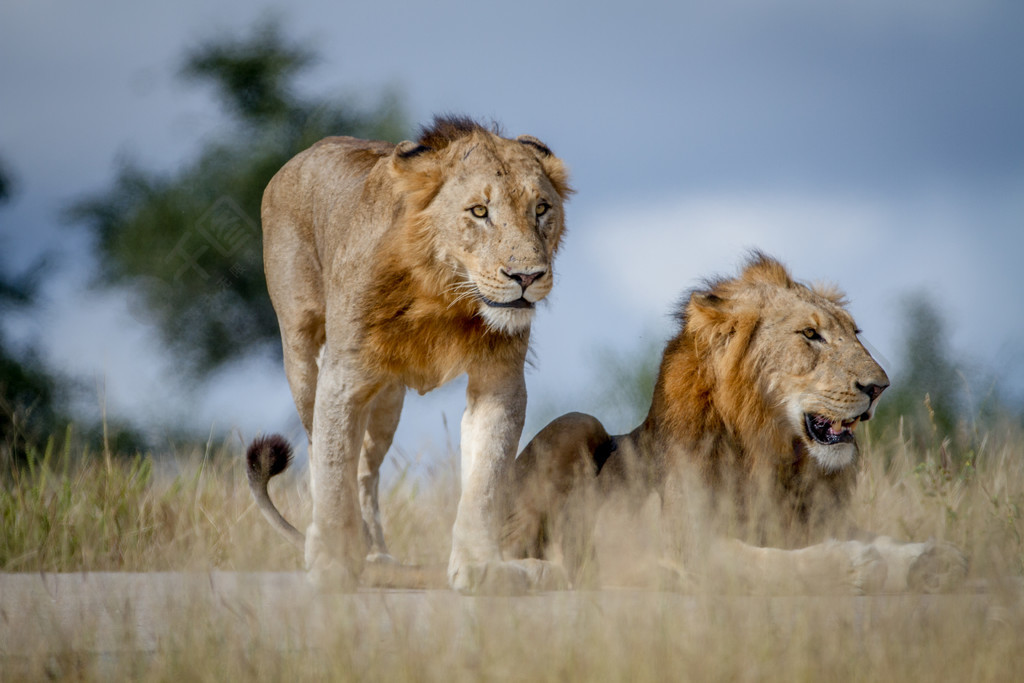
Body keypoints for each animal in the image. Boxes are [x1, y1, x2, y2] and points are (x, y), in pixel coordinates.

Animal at [244, 116, 573, 593]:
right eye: (479, 212)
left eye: (542, 209)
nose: (527, 276)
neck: (444, 291)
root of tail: (302, 155)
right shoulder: (343, 375)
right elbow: (332, 469)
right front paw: (331, 565)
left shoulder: (499, 378)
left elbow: (486, 477)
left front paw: (480, 566)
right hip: (303, 355)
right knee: (319, 447)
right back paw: (353, 552)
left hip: (387, 400)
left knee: (366, 470)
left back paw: (377, 555)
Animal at [503, 250, 966, 593]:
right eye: (810, 335)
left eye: (856, 332)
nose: (880, 386)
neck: (773, 454)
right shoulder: (686, 545)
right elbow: (764, 563)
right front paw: (854, 564)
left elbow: (877, 538)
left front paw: (929, 557)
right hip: (576, 422)